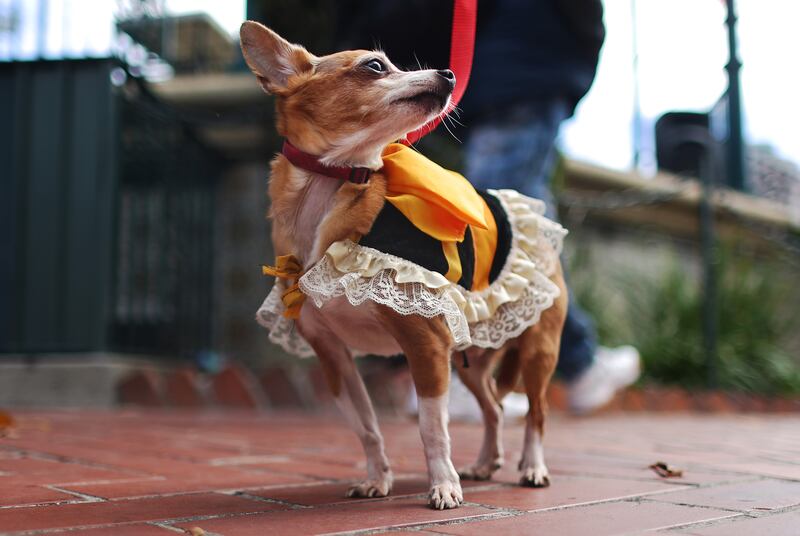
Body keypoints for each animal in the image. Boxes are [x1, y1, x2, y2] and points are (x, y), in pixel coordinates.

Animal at [239, 19, 568, 506]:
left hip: (537, 352)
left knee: (536, 413)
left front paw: (443, 486)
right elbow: (367, 427)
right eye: (375, 66)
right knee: (493, 406)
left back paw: (532, 466)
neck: (332, 189)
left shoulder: (426, 346)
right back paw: (486, 462)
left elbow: (432, 427)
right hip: (470, 361)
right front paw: (378, 478)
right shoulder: (334, 358)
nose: (449, 73)